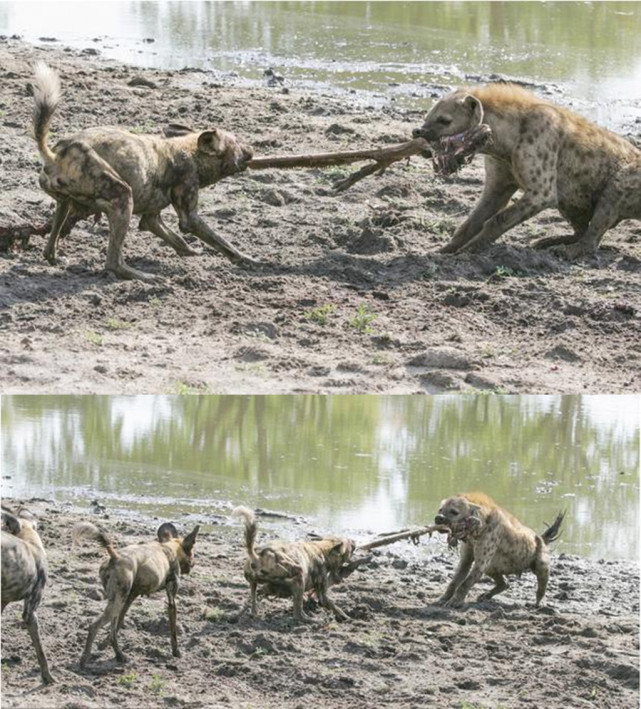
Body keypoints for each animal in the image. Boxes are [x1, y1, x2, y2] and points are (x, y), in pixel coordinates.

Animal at [30, 60, 255, 280]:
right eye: (237, 142)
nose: (251, 149)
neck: (190, 153)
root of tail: (56, 155)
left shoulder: (152, 218)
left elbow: (177, 239)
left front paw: (190, 252)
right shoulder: (189, 217)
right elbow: (223, 243)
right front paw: (250, 261)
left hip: (66, 204)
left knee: (52, 243)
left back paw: (55, 258)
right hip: (122, 197)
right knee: (113, 262)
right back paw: (142, 276)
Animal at [73, 516, 198, 668]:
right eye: (192, 552)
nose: (194, 563)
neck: (170, 548)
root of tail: (115, 557)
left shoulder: (130, 598)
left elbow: (117, 627)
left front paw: (103, 645)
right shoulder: (171, 602)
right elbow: (173, 632)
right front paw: (176, 652)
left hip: (118, 601)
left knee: (112, 631)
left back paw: (120, 655)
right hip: (116, 603)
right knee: (93, 626)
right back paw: (84, 660)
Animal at [412, 82, 636, 256]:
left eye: (444, 120)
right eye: (427, 116)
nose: (417, 131)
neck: (504, 143)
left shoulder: (542, 192)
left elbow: (498, 218)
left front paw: (469, 250)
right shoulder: (498, 184)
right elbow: (472, 220)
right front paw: (445, 250)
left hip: (621, 180)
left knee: (593, 236)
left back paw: (566, 251)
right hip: (571, 198)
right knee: (581, 229)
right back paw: (549, 241)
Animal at [432, 492, 564, 608]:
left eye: (454, 512)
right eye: (440, 510)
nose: (438, 518)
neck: (476, 533)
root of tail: (541, 537)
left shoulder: (481, 561)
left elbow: (466, 582)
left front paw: (454, 602)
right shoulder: (467, 557)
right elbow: (455, 580)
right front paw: (443, 598)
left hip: (541, 562)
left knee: (542, 584)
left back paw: (536, 604)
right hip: (492, 565)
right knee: (505, 583)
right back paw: (487, 595)